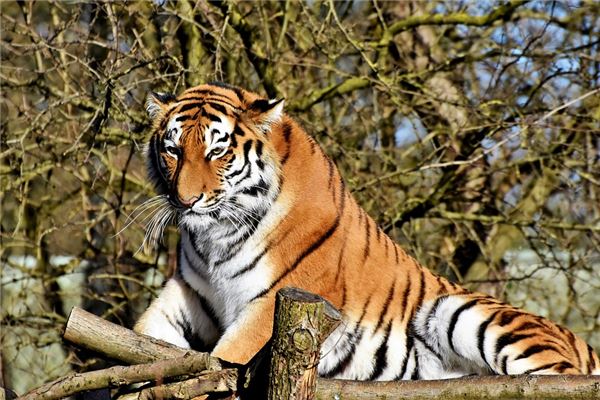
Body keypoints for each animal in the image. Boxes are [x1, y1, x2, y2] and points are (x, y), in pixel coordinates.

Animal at [135, 82, 600, 382]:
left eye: (217, 151)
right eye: (172, 149)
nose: (186, 200)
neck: (216, 236)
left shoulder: (270, 304)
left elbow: (224, 359)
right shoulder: (191, 293)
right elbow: (143, 340)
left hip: (467, 315)